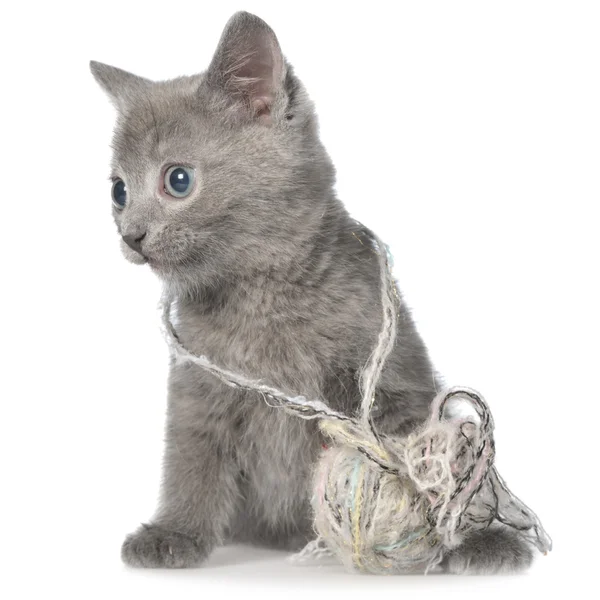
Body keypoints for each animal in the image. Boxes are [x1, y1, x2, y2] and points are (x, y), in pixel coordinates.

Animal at [90, 10, 536, 576]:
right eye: (118, 191)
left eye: (179, 180)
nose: (132, 235)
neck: (261, 296)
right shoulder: (197, 385)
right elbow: (190, 458)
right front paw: (176, 531)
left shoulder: (392, 373)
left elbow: (431, 459)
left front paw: (475, 537)